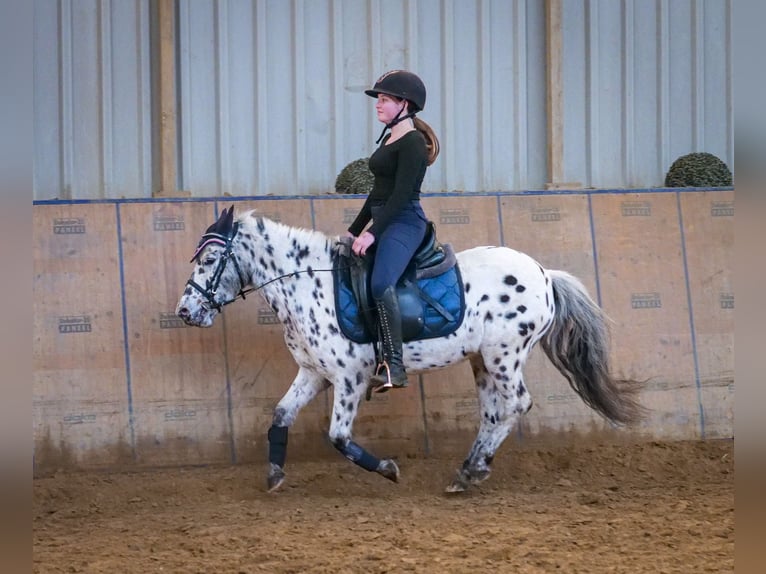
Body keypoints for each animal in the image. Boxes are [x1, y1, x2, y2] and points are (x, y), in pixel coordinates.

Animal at [177, 207, 644, 496]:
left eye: (212, 259)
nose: (185, 311)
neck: (307, 283)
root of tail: (545, 274)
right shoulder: (313, 374)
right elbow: (279, 416)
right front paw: (274, 475)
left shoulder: (349, 377)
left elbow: (338, 436)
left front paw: (388, 469)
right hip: (482, 361)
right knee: (493, 413)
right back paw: (469, 470)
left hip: (504, 354)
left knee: (516, 404)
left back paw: (472, 470)